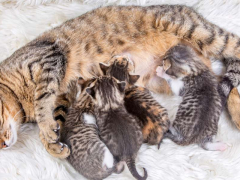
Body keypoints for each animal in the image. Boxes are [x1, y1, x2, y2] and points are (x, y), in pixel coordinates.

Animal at [0, 4, 240, 158]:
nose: (3, 145)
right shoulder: (63, 96)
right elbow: (55, 113)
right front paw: (53, 145)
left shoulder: (50, 58)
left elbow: (42, 100)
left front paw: (47, 131)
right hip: (182, 75)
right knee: (217, 79)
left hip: (200, 33)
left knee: (235, 46)